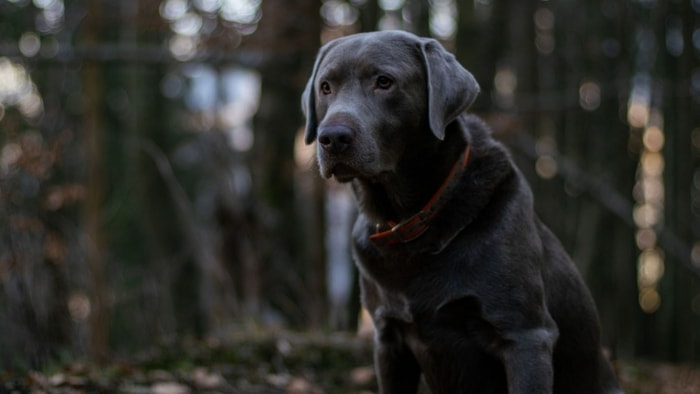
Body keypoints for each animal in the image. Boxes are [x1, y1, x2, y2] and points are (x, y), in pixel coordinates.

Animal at [300, 29, 624, 392]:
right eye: (325, 87)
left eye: (384, 82)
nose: (331, 137)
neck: (414, 222)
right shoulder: (389, 339)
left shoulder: (526, 335)